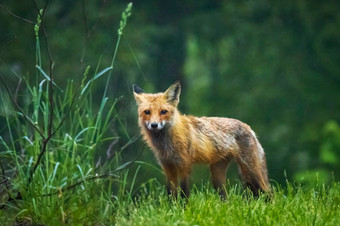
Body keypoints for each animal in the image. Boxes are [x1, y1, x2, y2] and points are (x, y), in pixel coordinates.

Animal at [133, 80, 270, 199]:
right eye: (147, 112)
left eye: (163, 112)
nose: (154, 125)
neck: (166, 144)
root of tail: (249, 127)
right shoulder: (168, 169)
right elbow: (171, 196)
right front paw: (172, 210)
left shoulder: (184, 167)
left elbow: (184, 195)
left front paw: (184, 210)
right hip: (217, 176)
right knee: (226, 199)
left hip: (250, 172)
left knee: (267, 193)